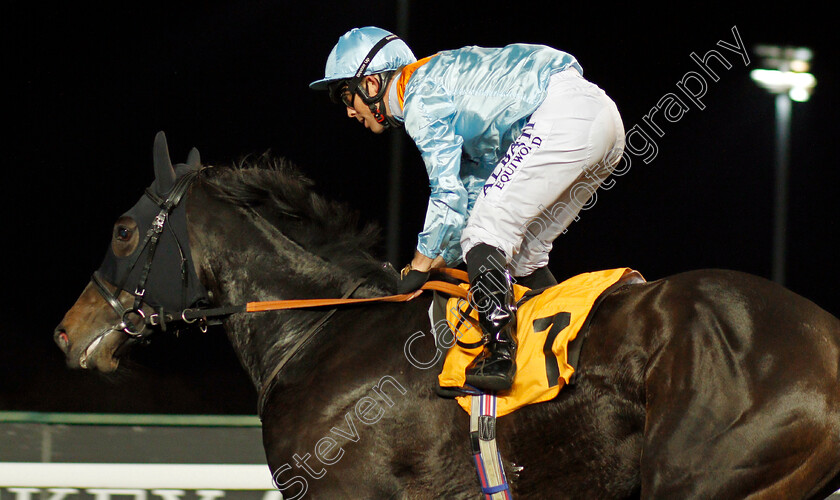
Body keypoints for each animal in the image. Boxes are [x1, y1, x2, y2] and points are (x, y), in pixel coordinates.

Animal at [54, 134, 840, 500]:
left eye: (123, 231)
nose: (67, 330)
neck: (319, 328)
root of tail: (825, 336)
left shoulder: (344, 487)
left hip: (709, 473)